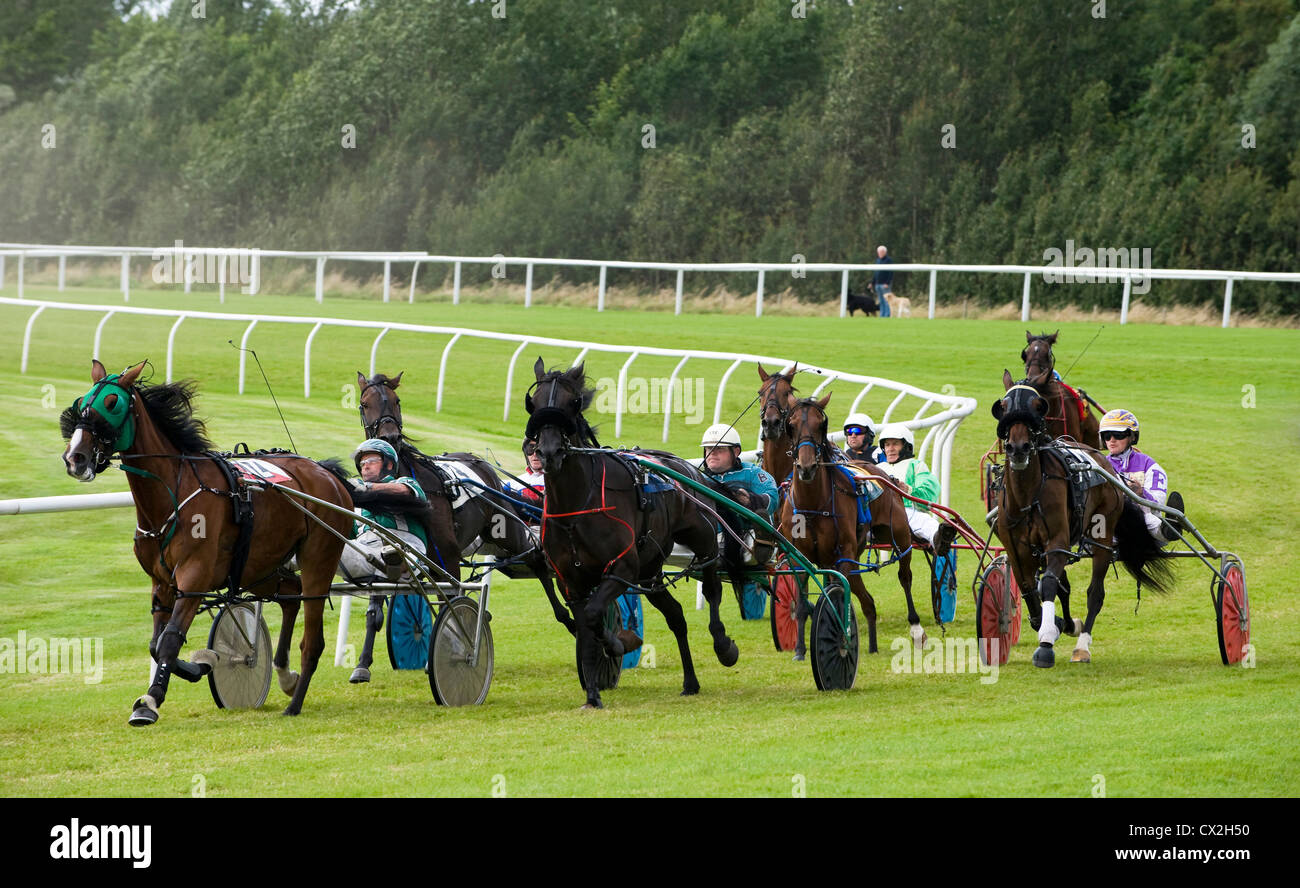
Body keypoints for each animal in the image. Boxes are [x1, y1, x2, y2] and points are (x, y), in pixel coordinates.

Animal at [63, 358, 353, 722]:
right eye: (82, 400)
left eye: (112, 402)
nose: (75, 457)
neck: (174, 494)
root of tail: (329, 475)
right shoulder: (162, 581)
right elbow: (156, 644)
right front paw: (202, 663)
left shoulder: (195, 575)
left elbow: (170, 639)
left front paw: (151, 701)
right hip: (257, 567)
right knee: (290, 596)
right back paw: (285, 675)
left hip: (318, 556)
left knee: (312, 633)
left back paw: (294, 703)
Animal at [358, 371, 577, 686]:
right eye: (365, 403)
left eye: (396, 400)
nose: (389, 437)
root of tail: (481, 463)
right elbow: (376, 609)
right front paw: (362, 665)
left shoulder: (447, 556)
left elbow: (450, 605)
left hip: (506, 528)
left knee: (537, 560)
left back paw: (569, 618)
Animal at [520, 358, 743, 712]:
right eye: (535, 402)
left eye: (573, 402)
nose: (548, 452)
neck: (576, 505)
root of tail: (691, 469)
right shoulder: (571, 581)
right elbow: (586, 627)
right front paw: (593, 694)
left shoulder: (621, 568)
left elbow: (595, 616)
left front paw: (618, 642)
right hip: (649, 572)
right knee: (676, 615)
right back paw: (690, 682)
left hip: (700, 533)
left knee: (711, 582)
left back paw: (723, 645)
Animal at [774, 392, 930, 655]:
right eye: (791, 425)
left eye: (820, 425)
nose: (806, 467)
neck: (813, 504)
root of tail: (885, 475)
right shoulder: (799, 557)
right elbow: (803, 603)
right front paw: (800, 650)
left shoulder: (842, 553)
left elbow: (840, 595)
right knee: (867, 600)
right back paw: (873, 646)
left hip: (897, 534)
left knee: (904, 575)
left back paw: (916, 629)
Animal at [987, 369, 1175, 665]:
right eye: (1002, 406)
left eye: (1038, 405)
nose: (1018, 447)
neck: (1028, 495)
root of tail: (1106, 463)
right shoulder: (1017, 549)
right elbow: (1030, 590)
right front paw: (1052, 624)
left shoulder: (1057, 540)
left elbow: (1049, 584)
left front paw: (1046, 644)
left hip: (1103, 537)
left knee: (1095, 592)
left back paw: (1082, 645)